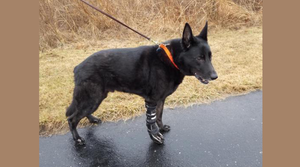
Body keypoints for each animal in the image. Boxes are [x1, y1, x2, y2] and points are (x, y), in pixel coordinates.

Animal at [66, 22, 218, 145]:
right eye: (199, 58)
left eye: (210, 57)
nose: (215, 76)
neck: (170, 60)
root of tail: (78, 67)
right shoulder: (151, 101)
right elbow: (151, 120)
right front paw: (156, 136)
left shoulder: (160, 100)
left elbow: (158, 117)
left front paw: (161, 128)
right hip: (93, 99)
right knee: (72, 118)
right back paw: (77, 139)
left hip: (96, 98)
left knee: (82, 113)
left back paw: (92, 119)